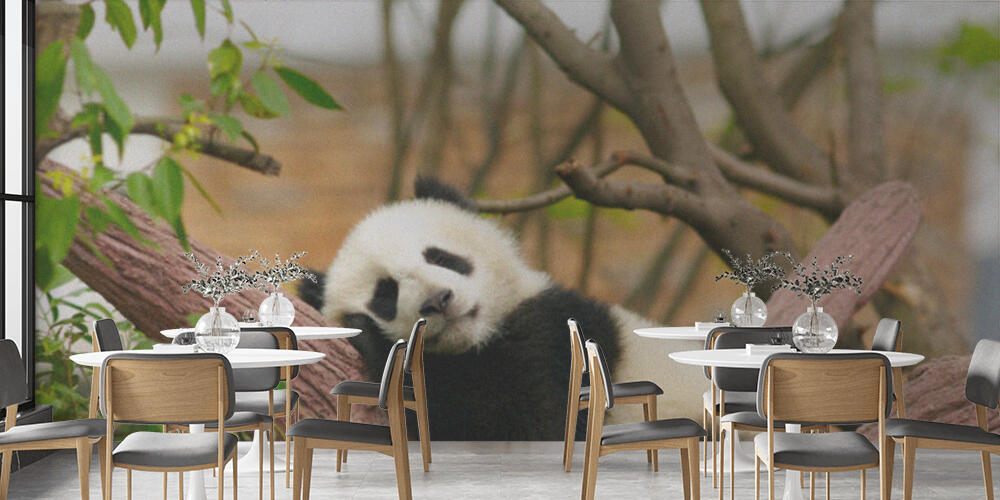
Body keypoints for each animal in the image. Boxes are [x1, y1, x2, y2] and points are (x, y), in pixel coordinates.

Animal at [302, 178, 706, 440]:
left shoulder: (556, 337)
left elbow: (525, 423)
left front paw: (375, 342)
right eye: (385, 294)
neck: (478, 341)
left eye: (440, 257)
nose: (438, 300)